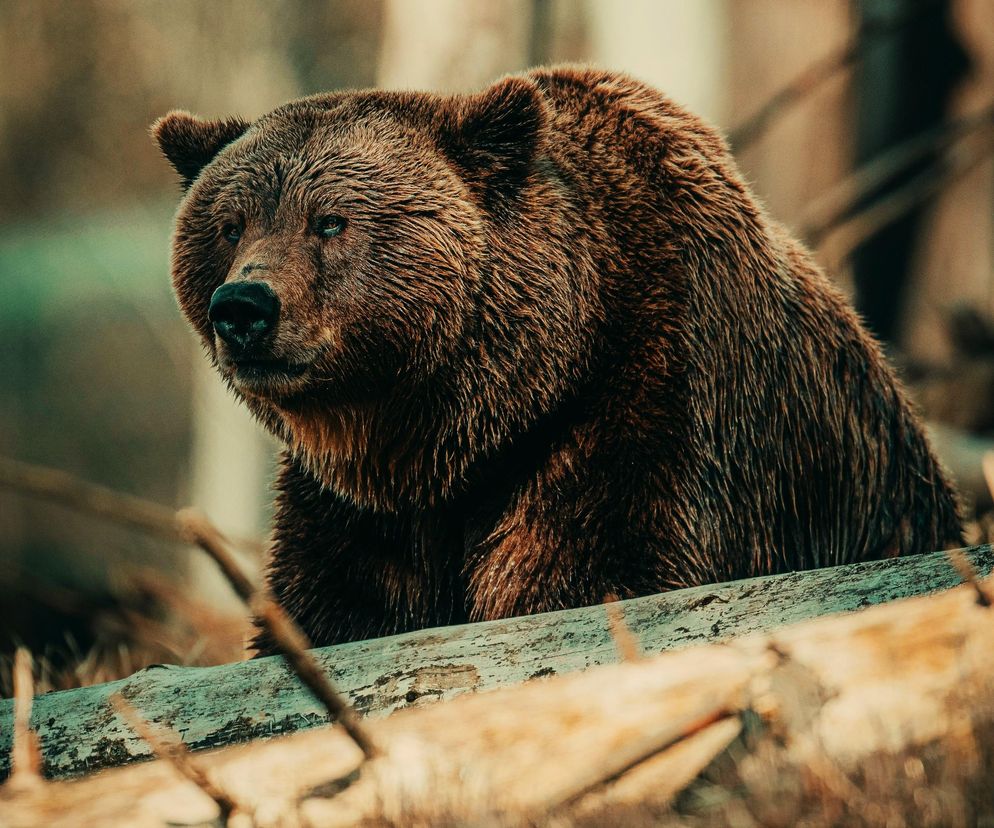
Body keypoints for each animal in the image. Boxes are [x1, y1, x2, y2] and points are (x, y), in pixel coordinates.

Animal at [153, 66, 960, 652]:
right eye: (229, 225)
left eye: (330, 221)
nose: (243, 308)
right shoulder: (358, 510)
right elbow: (331, 607)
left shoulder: (650, 408)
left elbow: (594, 572)